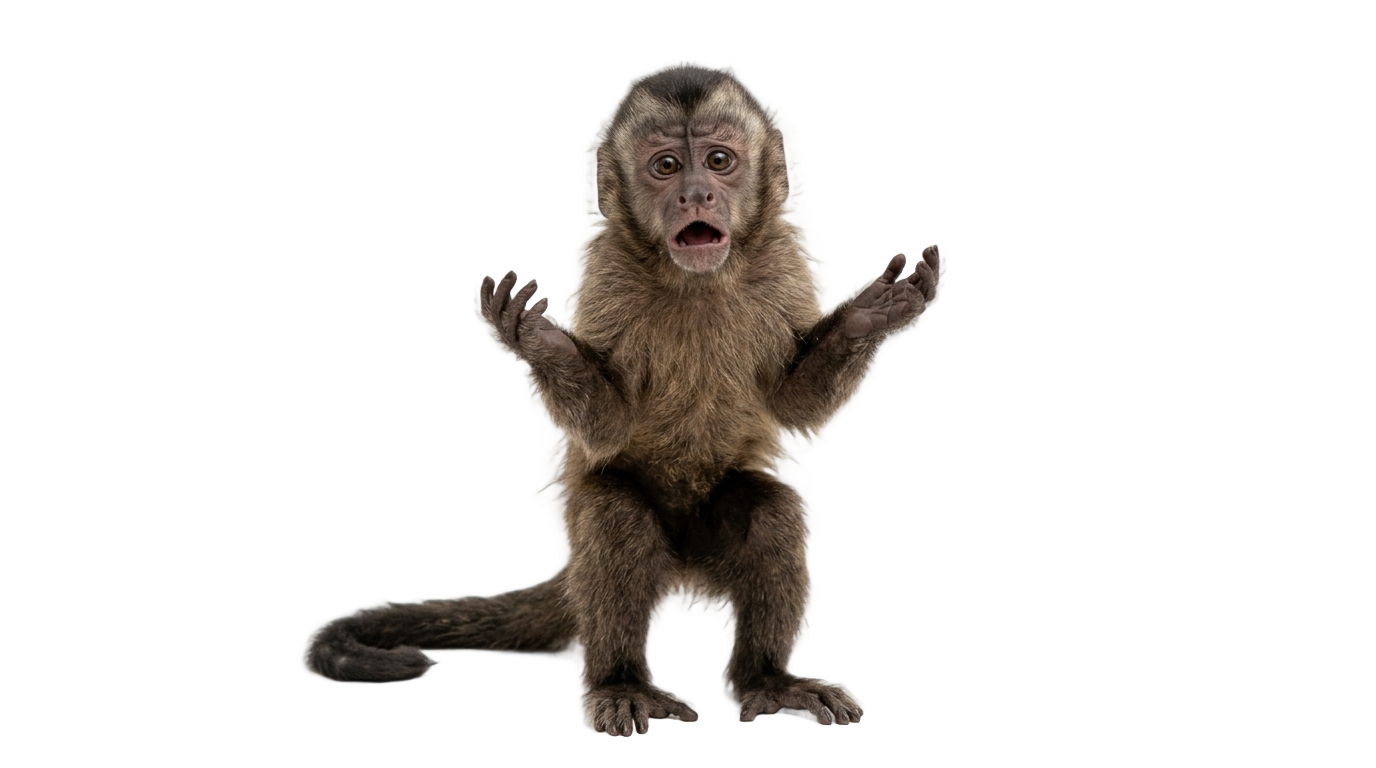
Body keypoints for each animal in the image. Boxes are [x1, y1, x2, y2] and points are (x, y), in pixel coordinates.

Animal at [305, 65, 941, 734]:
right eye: (666, 166)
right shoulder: (607, 268)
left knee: (769, 517)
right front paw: (539, 340)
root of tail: (680, 563)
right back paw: (621, 681)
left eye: (719, 161)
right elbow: (608, 424)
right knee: (615, 520)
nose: (695, 196)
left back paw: (766, 677)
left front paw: (870, 315)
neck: (697, 281)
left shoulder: (781, 260)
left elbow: (793, 404)